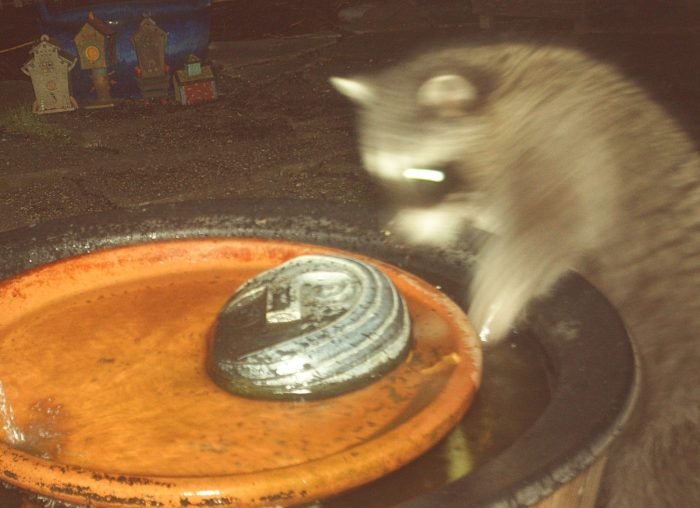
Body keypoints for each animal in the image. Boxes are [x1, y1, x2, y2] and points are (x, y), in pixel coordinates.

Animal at [331, 41, 700, 507]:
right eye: (380, 174)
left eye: (427, 175)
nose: (399, 238)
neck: (496, 94)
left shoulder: (561, 150)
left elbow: (541, 236)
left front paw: (489, 317)